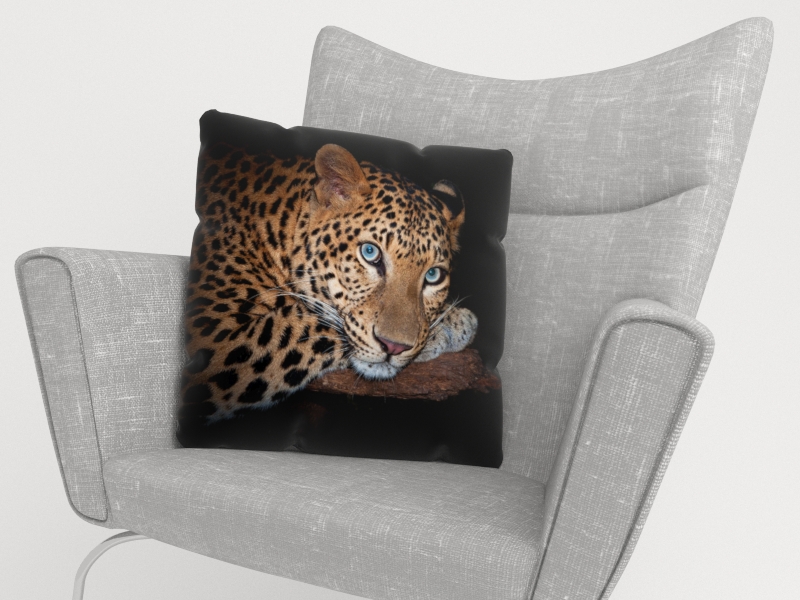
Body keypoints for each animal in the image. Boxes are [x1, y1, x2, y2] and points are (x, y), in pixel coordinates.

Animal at [181, 141, 478, 421]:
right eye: (370, 253)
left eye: (433, 275)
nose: (395, 346)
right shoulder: (217, 337)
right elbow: (307, 323)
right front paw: (452, 324)